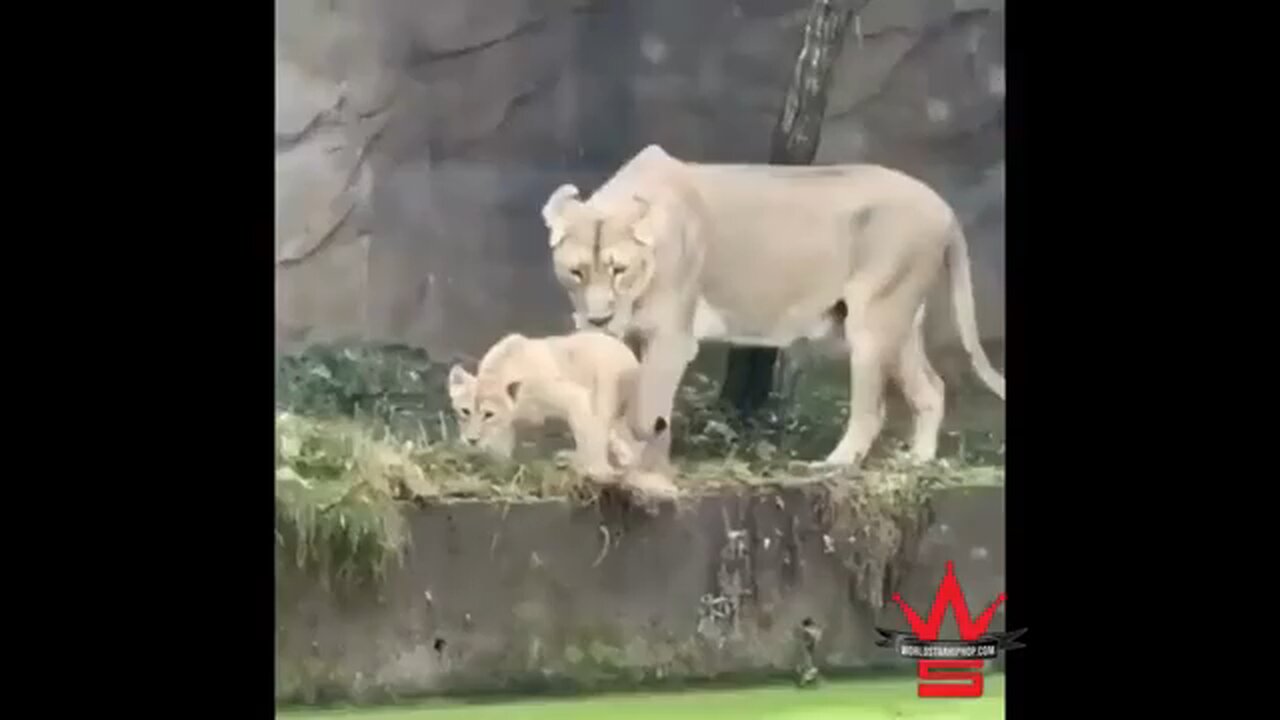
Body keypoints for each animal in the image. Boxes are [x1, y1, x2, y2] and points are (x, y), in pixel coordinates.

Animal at [447, 330, 648, 478]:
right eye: (465, 411)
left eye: (488, 415)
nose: (472, 440)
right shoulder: (506, 426)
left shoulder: (574, 397)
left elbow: (588, 434)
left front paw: (595, 469)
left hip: (606, 395)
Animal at [539, 144, 1005, 470]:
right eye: (576, 272)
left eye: (619, 270)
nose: (598, 318)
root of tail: (942, 205)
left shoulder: (673, 338)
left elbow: (646, 407)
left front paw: (638, 459)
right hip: (901, 323)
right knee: (932, 388)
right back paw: (917, 460)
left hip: (875, 318)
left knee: (872, 409)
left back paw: (835, 465)